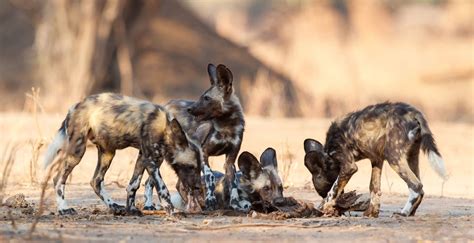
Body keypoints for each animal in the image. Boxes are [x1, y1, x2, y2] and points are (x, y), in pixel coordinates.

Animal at [45, 93, 206, 216]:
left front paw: (132, 209)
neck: (165, 129)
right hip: (77, 151)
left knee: (96, 181)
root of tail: (75, 106)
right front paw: (172, 211)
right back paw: (64, 209)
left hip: (108, 153)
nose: (198, 187)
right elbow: (163, 189)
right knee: (58, 179)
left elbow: (134, 184)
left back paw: (114, 207)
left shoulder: (144, 157)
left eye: (199, 168)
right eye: (190, 167)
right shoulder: (150, 161)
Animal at [144, 64, 248, 211]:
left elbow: (232, 185)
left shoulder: (230, 160)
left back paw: (192, 206)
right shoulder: (204, 153)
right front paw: (210, 200)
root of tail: (166, 105)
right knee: (149, 181)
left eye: (207, 98)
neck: (227, 127)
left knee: (179, 184)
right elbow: (210, 176)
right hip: (162, 156)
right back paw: (149, 205)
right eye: (202, 97)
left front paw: (235, 204)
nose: (190, 109)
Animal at [304, 101, 448, 217]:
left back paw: (403, 213)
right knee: (420, 187)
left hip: (393, 158)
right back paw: (411, 213)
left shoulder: (349, 166)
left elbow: (333, 190)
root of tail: (412, 112)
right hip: (411, 157)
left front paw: (324, 207)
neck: (329, 156)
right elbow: (374, 187)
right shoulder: (377, 160)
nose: (321, 195)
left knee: (416, 186)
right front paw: (372, 213)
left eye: (322, 190)